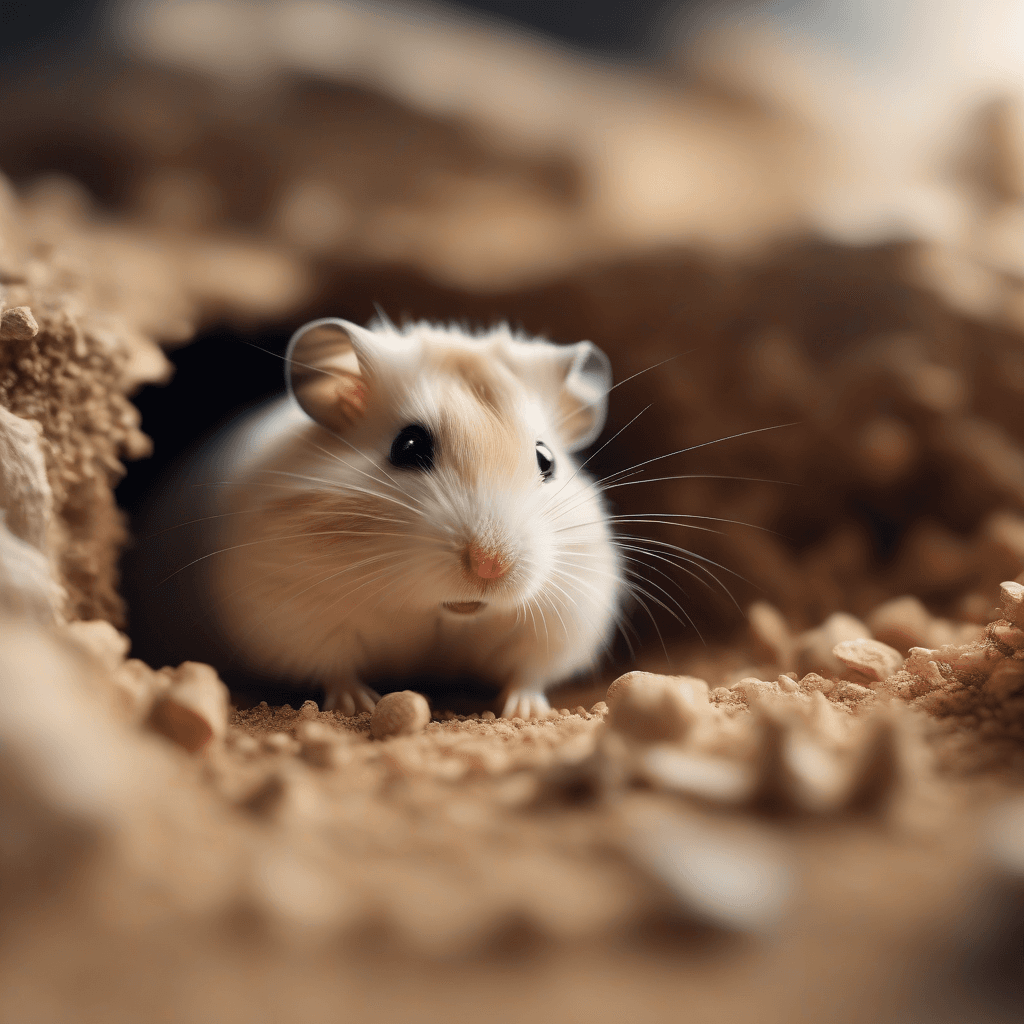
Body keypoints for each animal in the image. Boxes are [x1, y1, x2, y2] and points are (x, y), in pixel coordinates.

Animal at [137, 318, 623, 719]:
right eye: (408, 446)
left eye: (546, 460)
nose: (489, 566)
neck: (446, 612)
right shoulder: (293, 612)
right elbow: (335, 668)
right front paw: (359, 706)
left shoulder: (564, 617)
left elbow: (528, 672)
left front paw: (527, 711)